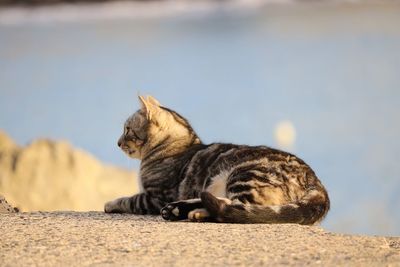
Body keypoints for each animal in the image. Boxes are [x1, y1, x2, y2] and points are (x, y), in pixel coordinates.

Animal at [104, 95, 330, 225]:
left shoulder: (155, 197)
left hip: (243, 176)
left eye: (127, 130)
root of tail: (314, 179)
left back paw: (193, 212)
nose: (117, 142)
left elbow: (129, 199)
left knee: (236, 208)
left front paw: (111, 203)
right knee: (214, 199)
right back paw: (178, 209)